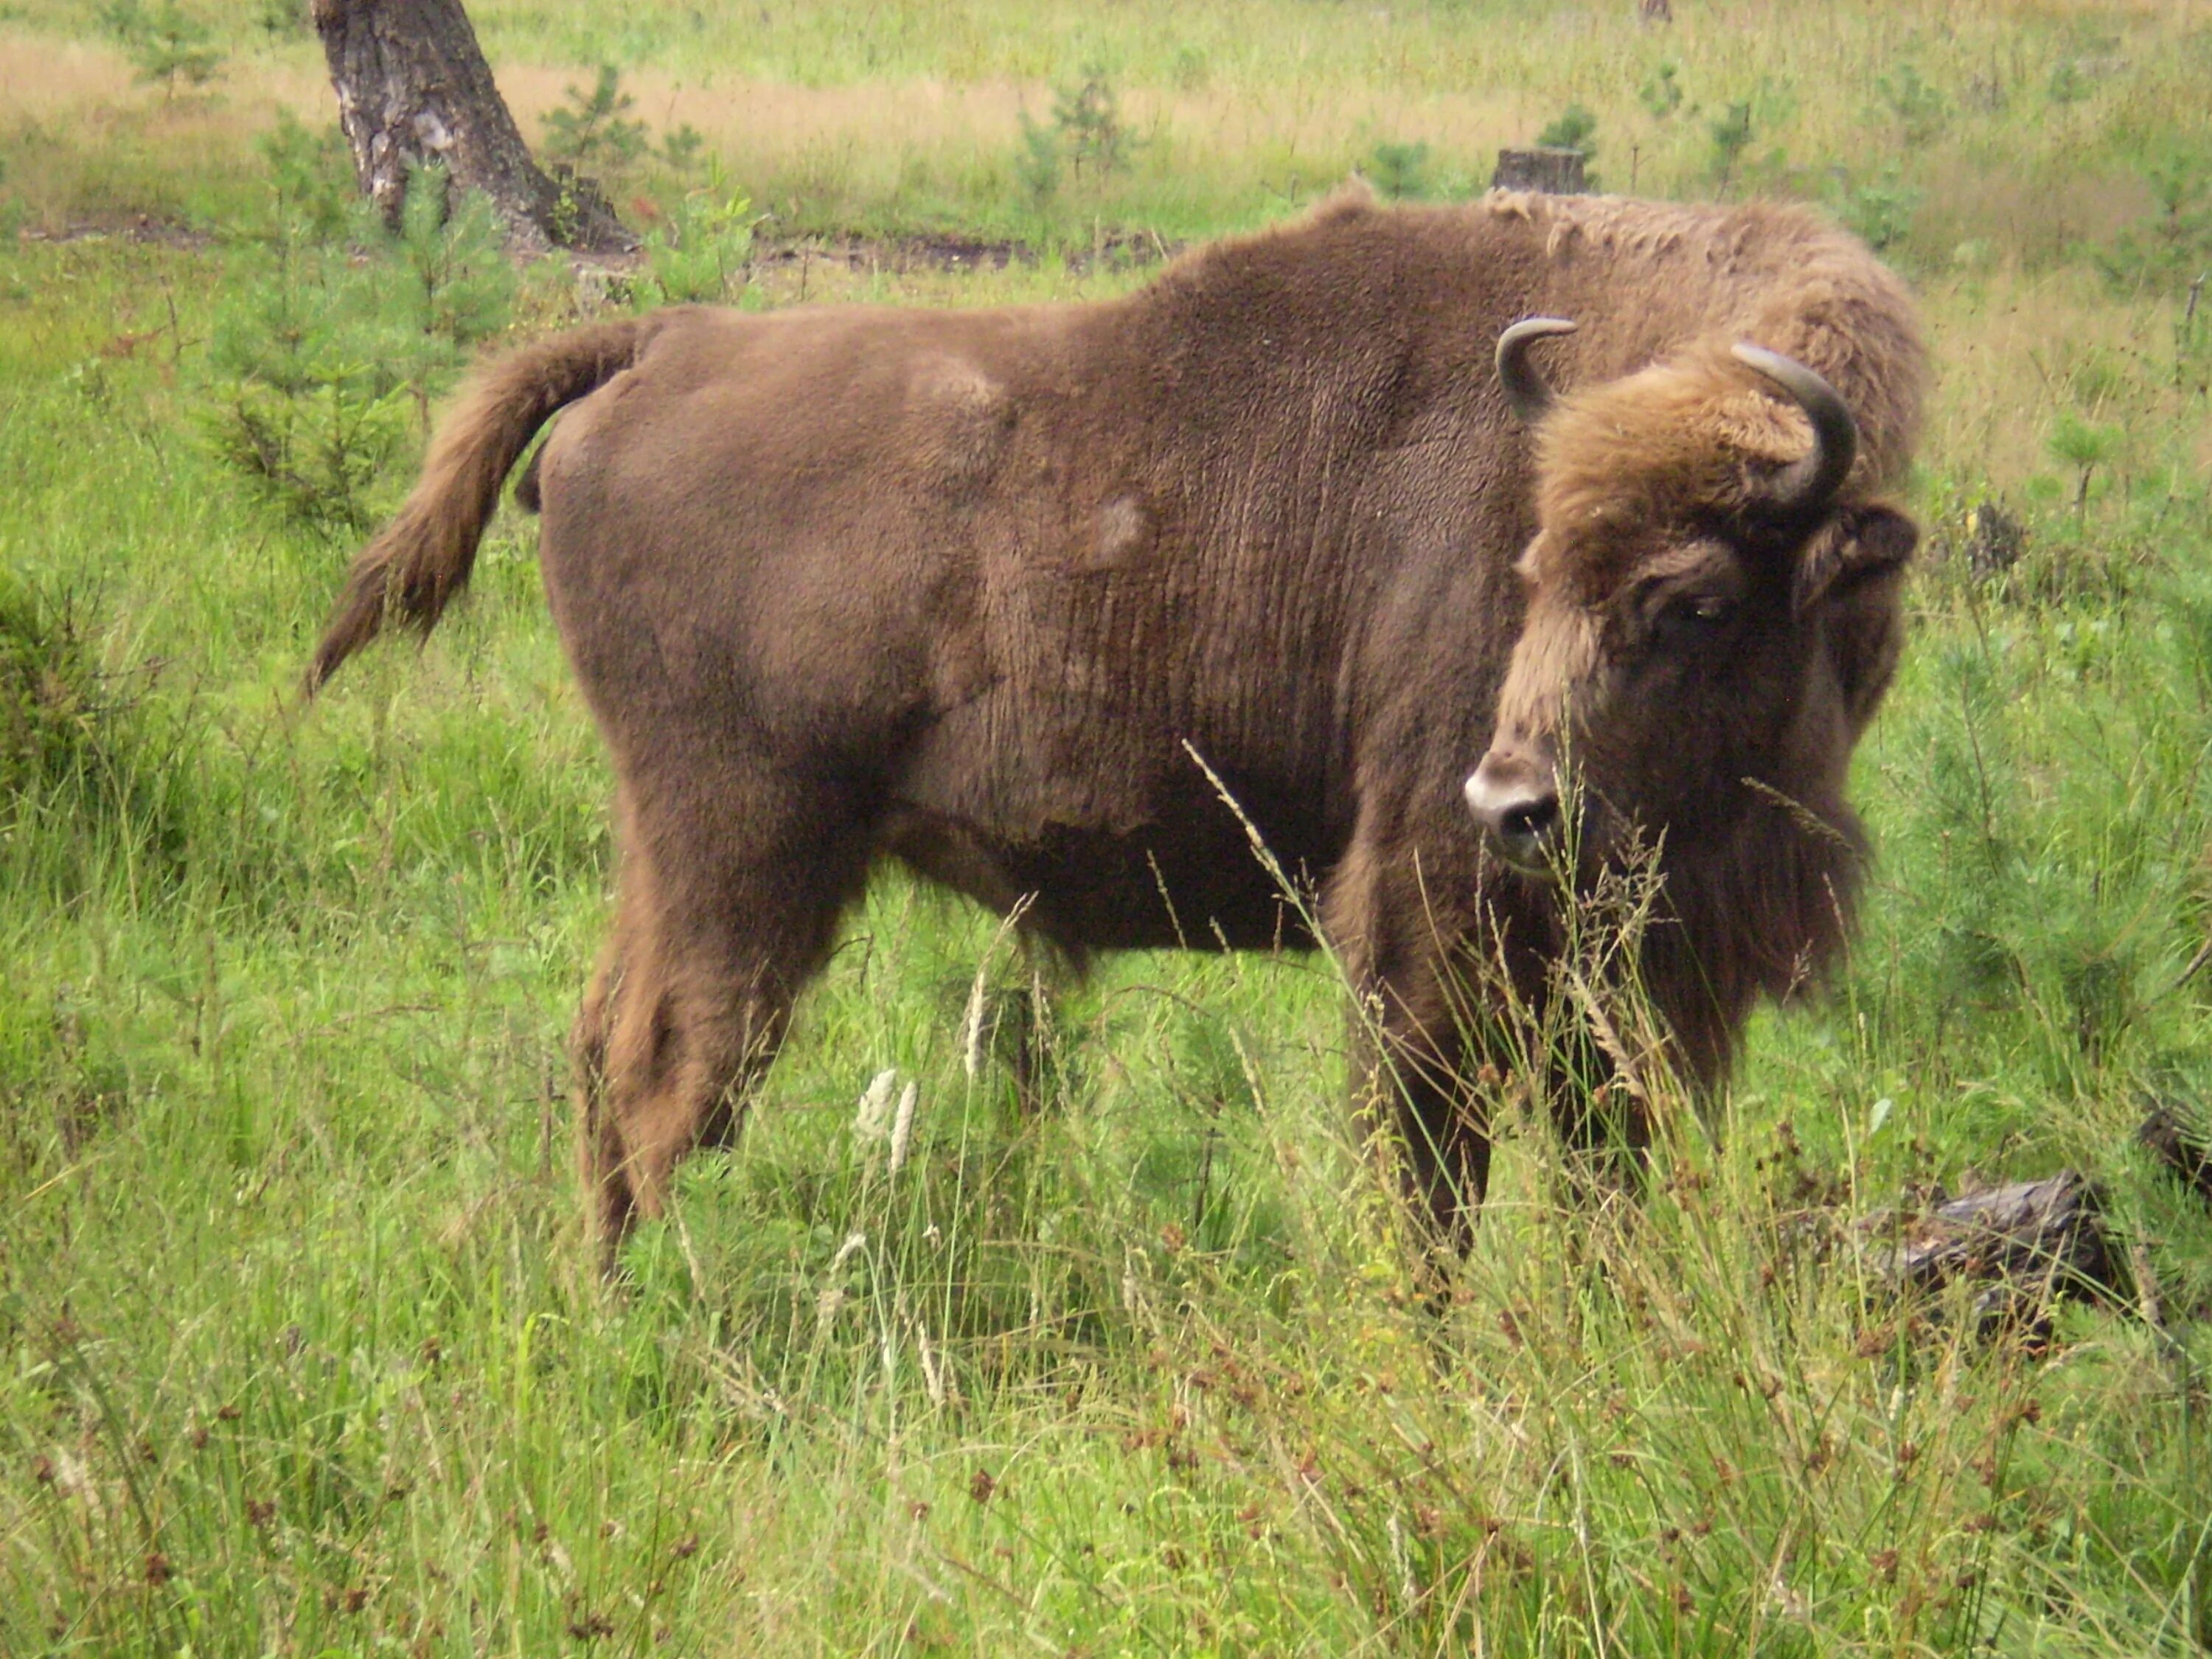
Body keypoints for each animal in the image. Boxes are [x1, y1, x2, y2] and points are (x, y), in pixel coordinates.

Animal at [307, 184, 1920, 1256]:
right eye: (1528, 570)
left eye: (1693, 599)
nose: (1514, 802)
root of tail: (668, 340)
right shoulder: (1432, 921)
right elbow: (1431, 1175)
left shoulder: (1645, 970)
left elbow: (1608, 1170)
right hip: (742, 849)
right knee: (668, 1080)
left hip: (677, 848)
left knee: (607, 1057)